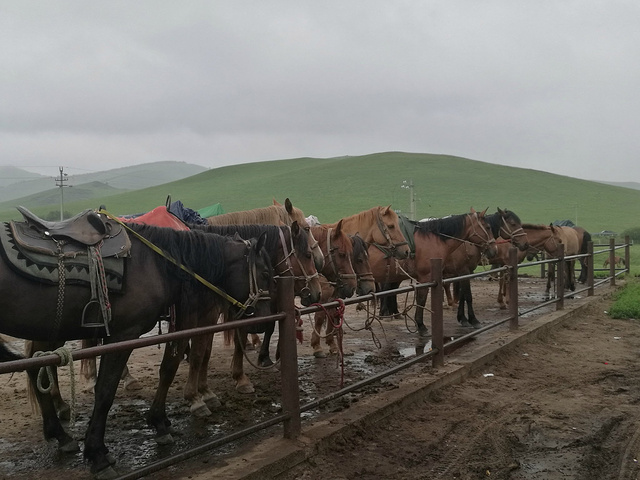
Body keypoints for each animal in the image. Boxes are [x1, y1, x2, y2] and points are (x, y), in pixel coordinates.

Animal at [0, 216, 274, 478]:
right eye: (265, 274)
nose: (265, 322)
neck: (156, 264)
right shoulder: (123, 336)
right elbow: (106, 391)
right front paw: (98, 455)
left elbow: (170, 367)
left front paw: (159, 422)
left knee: (36, 368)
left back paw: (60, 435)